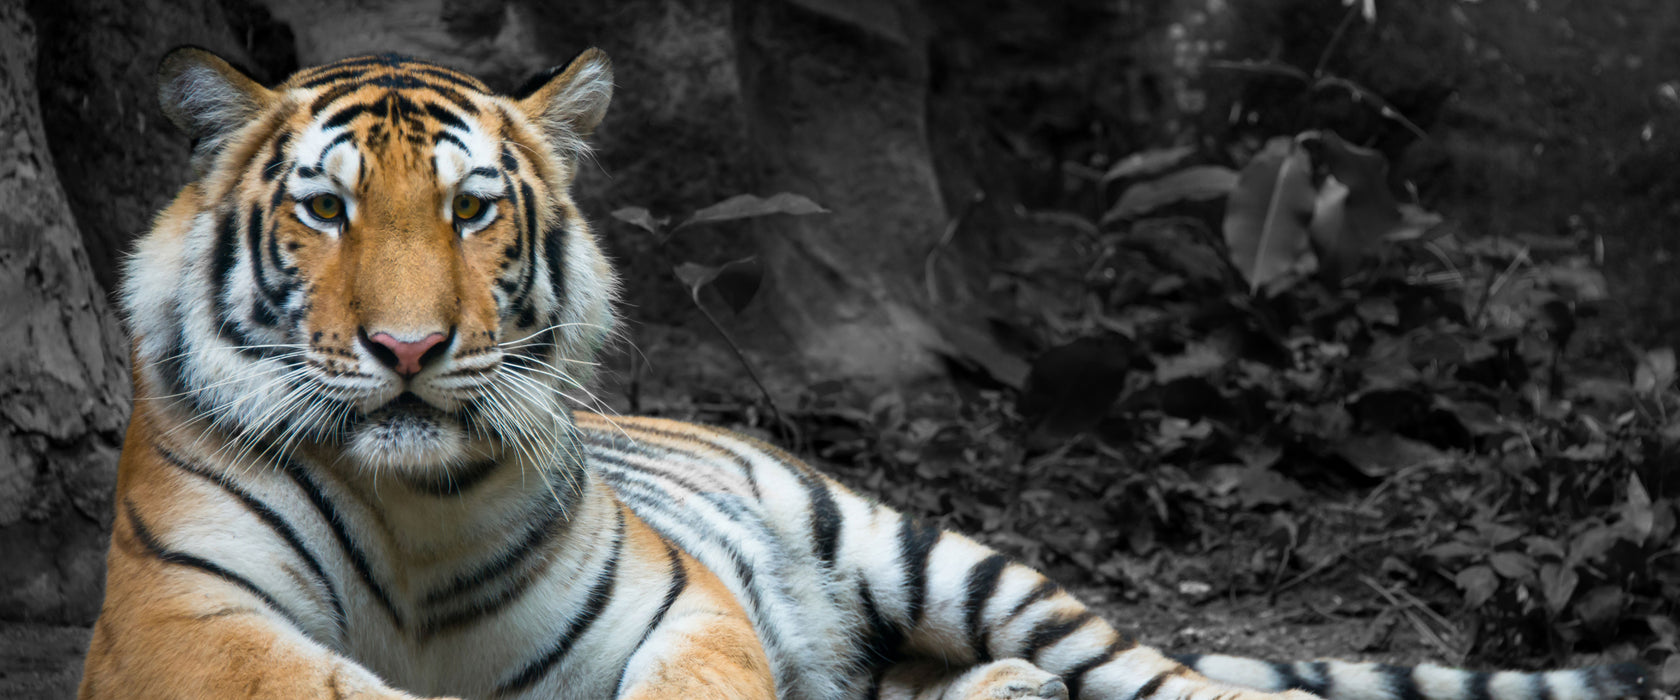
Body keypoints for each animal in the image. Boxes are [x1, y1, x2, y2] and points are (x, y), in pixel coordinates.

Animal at [72, 46, 1646, 698]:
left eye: (469, 210)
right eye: (325, 210)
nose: (410, 351)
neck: (410, 510)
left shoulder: (677, 607)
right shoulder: (183, 630)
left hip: (929, 549)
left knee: (1166, 678)